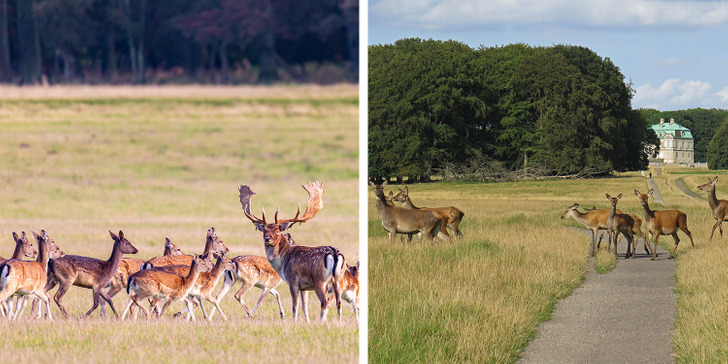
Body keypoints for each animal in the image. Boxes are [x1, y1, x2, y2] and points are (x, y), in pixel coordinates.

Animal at [236, 182, 344, 322]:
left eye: (277, 231)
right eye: (264, 230)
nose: (267, 239)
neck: (282, 262)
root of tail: (335, 255)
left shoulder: (293, 281)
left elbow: (295, 305)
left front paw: (294, 321)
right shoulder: (304, 286)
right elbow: (304, 306)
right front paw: (307, 322)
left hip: (320, 280)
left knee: (324, 302)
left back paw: (321, 321)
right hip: (339, 280)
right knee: (338, 302)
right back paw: (339, 322)